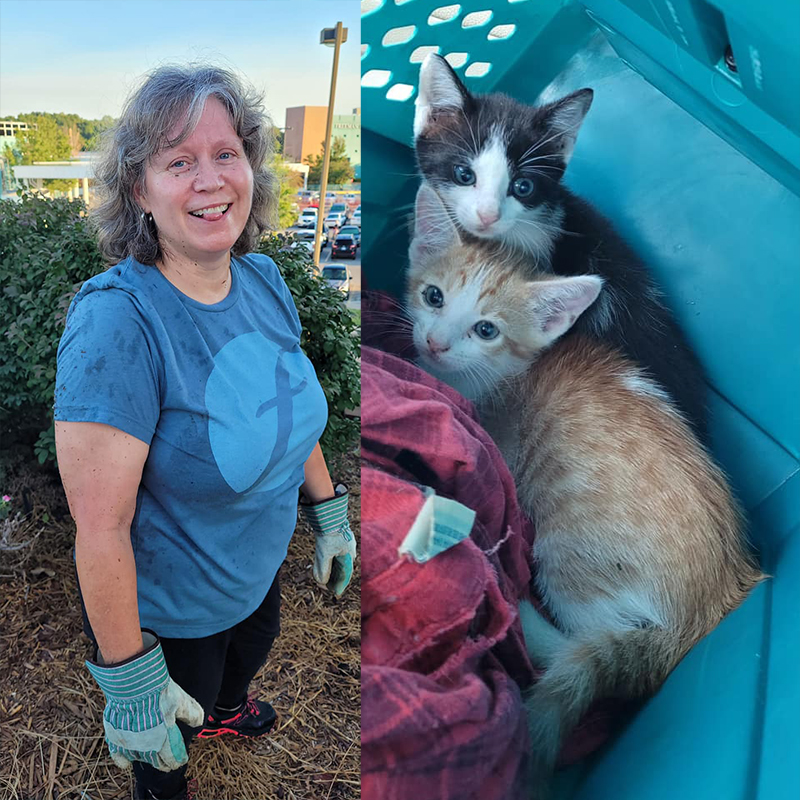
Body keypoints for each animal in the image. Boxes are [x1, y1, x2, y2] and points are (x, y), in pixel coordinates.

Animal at [410, 186, 764, 792]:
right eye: (433, 296)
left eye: (487, 330)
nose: (434, 343)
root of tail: (709, 609)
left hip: (570, 553)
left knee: (581, 639)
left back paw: (516, 609)